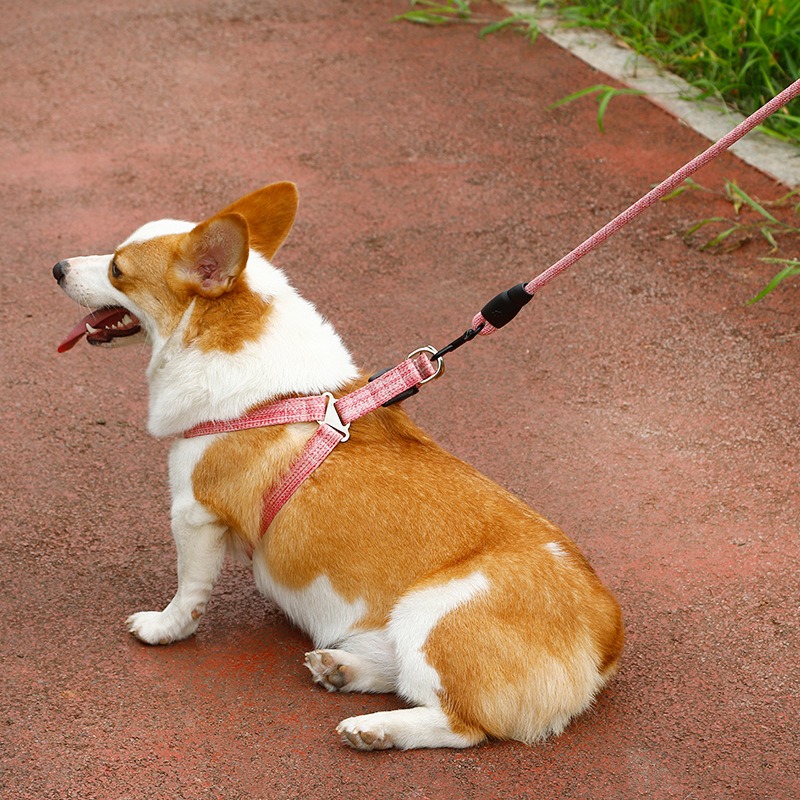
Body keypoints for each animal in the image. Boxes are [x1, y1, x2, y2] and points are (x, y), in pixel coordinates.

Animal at [51, 183, 624, 752]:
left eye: (117, 269)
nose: (57, 267)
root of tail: (606, 638)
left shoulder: (194, 515)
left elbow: (188, 591)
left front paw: (162, 628)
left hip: (430, 618)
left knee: (462, 724)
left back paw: (375, 729)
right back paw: (342, 670)